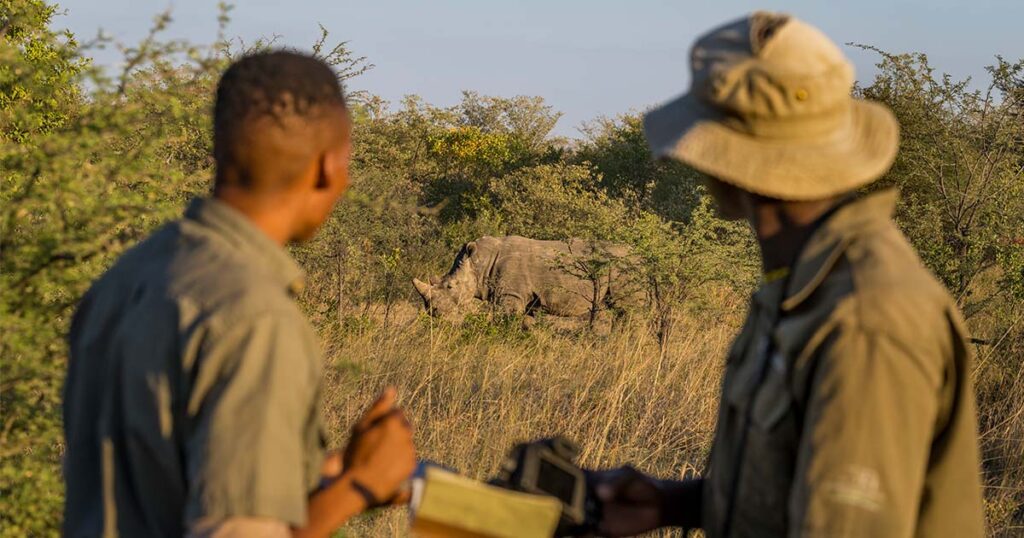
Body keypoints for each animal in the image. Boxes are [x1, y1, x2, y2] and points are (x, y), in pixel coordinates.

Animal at [411, 235, 643, 319]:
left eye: (451, 286)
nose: (433, 312)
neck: (480, 263)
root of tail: (637, 255)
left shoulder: (511, 294)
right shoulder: (529, 298)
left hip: (622, 268)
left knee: (627, 310)